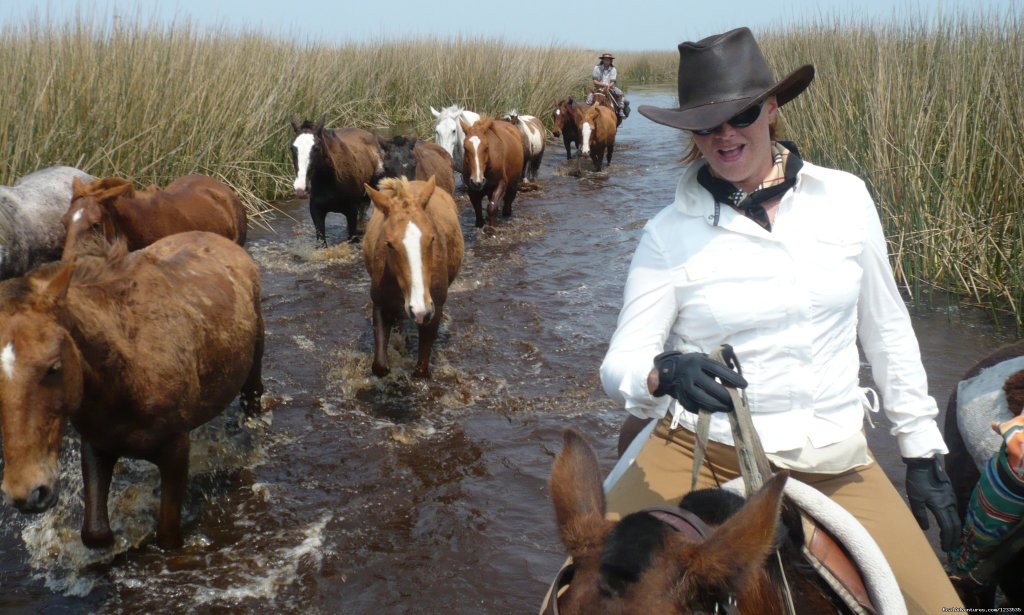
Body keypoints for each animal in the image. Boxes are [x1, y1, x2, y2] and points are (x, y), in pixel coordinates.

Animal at [1, 232, 264, 548]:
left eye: (53, 367)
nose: (27, 492)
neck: (125, 378)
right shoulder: (97, 446)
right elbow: (95, 533)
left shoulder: (175, 449)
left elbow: (167, 535)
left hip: (254, 370)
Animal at [288, 116, 385, 245]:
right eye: (292, 148)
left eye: (316, 148)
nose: (301, 189)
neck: (331, 181)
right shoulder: (316, 212)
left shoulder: (351, 212)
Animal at [362, 174, 462, 378]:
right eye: (389, 243)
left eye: (432, 238)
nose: (419, 309)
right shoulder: (380, 304)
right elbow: (380, 367)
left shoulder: (434, 308)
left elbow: (421, 370)